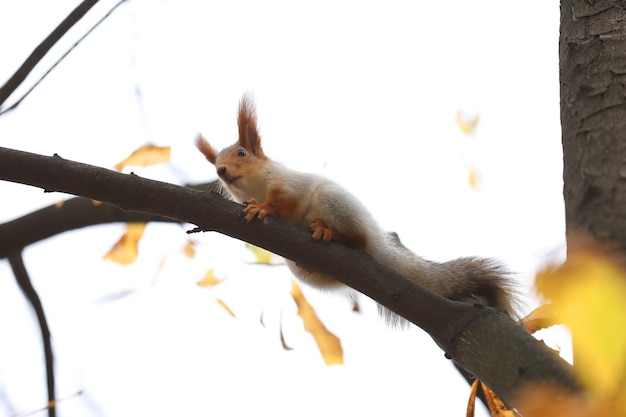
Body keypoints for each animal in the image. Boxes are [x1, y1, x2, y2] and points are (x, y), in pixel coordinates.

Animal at [195, 92, 516, 324]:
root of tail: (377, 242)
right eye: (215, 163)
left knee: (357, 239)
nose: (221, 171)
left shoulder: (290, 183)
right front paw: (252, 204)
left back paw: (330, 232)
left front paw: (261, 208)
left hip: (332, 203)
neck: (256, 186)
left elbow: (283, 201)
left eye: (241, 153)